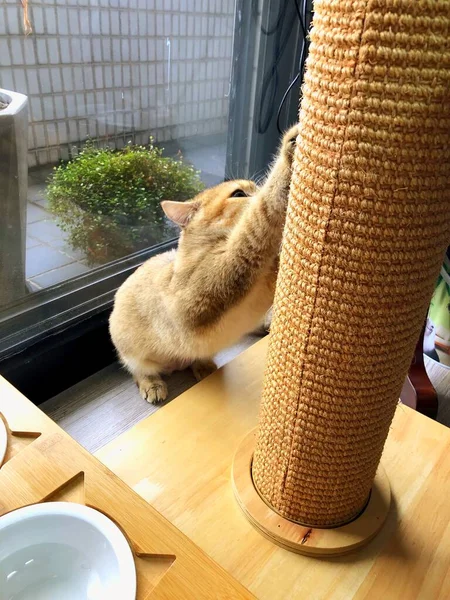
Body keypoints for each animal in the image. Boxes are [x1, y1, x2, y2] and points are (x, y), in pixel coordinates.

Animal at [108, 123, 298, 404]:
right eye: (239, 193)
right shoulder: (212, 284)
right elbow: (258, 220)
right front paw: (290, 148)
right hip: (132, 353)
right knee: (138, 371)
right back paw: (153, 384)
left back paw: (205, 366)